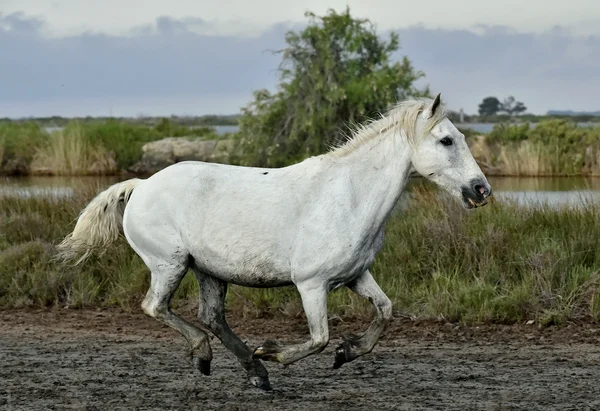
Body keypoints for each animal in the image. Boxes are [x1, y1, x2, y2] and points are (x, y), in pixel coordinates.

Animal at [56, 94, 492, 392]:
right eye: (447, 141)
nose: (481, 190)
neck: (349, 195)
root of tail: (141, 185)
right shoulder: (312, 284)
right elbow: (319, 338)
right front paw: (276, 352)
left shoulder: (356, 275)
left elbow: (384, 312)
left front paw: (346, 353)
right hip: (170, 265)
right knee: (156, 308)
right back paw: (214, 356)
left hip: (209, 271)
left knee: (212, 317)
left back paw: (255, 372)